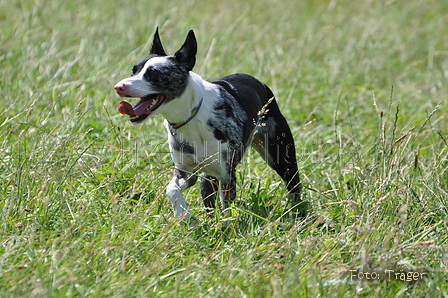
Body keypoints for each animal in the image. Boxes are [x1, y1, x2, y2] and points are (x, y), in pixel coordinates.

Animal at [114, 29, 306, 220]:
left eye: (154, 74)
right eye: (134, 71)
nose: (118, 87)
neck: (191, 119)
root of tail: (261, 84)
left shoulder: (227, 175)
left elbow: (227, 210)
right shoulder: (186, 172)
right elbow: (172, 190)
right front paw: (184, 214)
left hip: (282, 157)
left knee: (294, 185)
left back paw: (299, 212)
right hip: (208, 177)